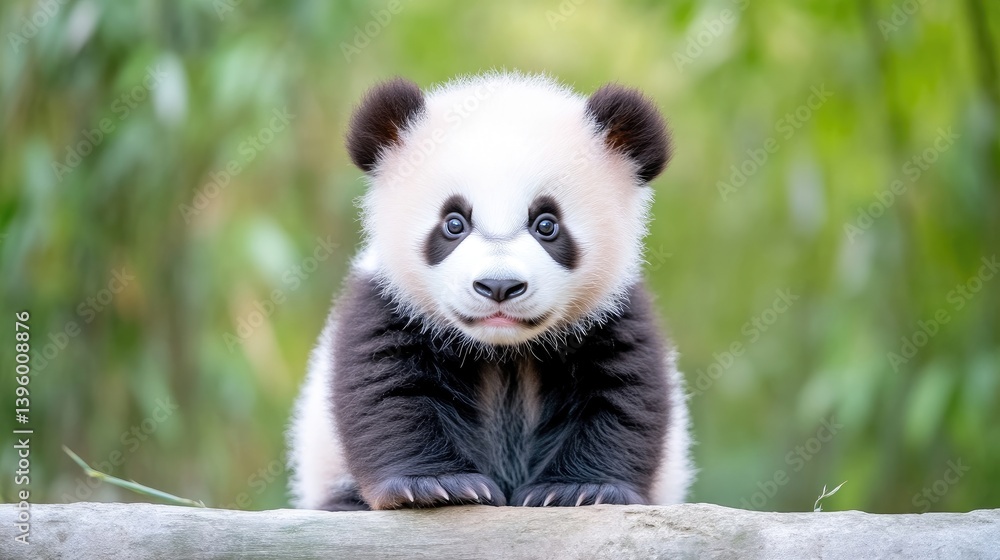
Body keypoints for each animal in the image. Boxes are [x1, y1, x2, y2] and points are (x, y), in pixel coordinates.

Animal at [287, 72, 694, 510]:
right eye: (453, 223)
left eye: (546, 224)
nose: (499, 286)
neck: (502, 350)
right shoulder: (389, 302)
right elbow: (388, 392)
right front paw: (436, 485)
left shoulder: (611, 314)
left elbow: (622, 398)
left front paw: (580, 490)